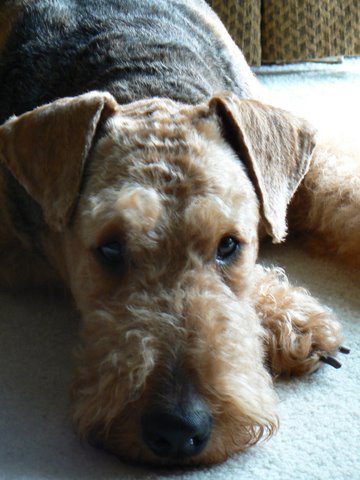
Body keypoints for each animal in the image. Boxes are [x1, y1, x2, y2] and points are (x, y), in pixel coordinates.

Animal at [0, 0, 358, 466]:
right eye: (109, 248)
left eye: (229, 244)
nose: (178, 430)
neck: (142, 76)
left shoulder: (305, 167)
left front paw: (293, 321)